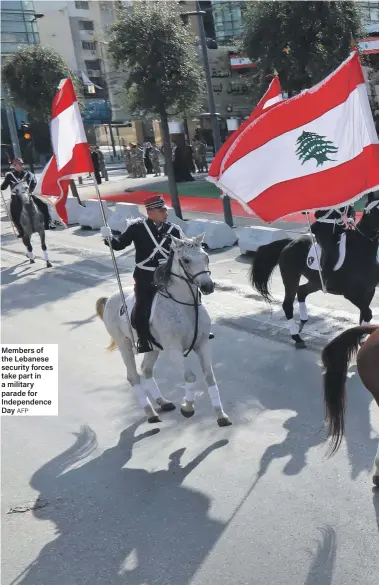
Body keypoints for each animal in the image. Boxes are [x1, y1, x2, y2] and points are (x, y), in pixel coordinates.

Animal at [95, 230, 232, 426]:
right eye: (186, 260)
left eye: (206, 257)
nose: (208, 286)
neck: (186, 307)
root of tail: (110, 298)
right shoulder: (174, 350)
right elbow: (190, 376)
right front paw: (187, 407)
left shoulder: (203, 345)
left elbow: (209, 376)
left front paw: (221, 415)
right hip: (124, 345)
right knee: (133, 376)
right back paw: (150, 412)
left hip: (152, 348)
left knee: (146, 369)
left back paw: (162, 402)